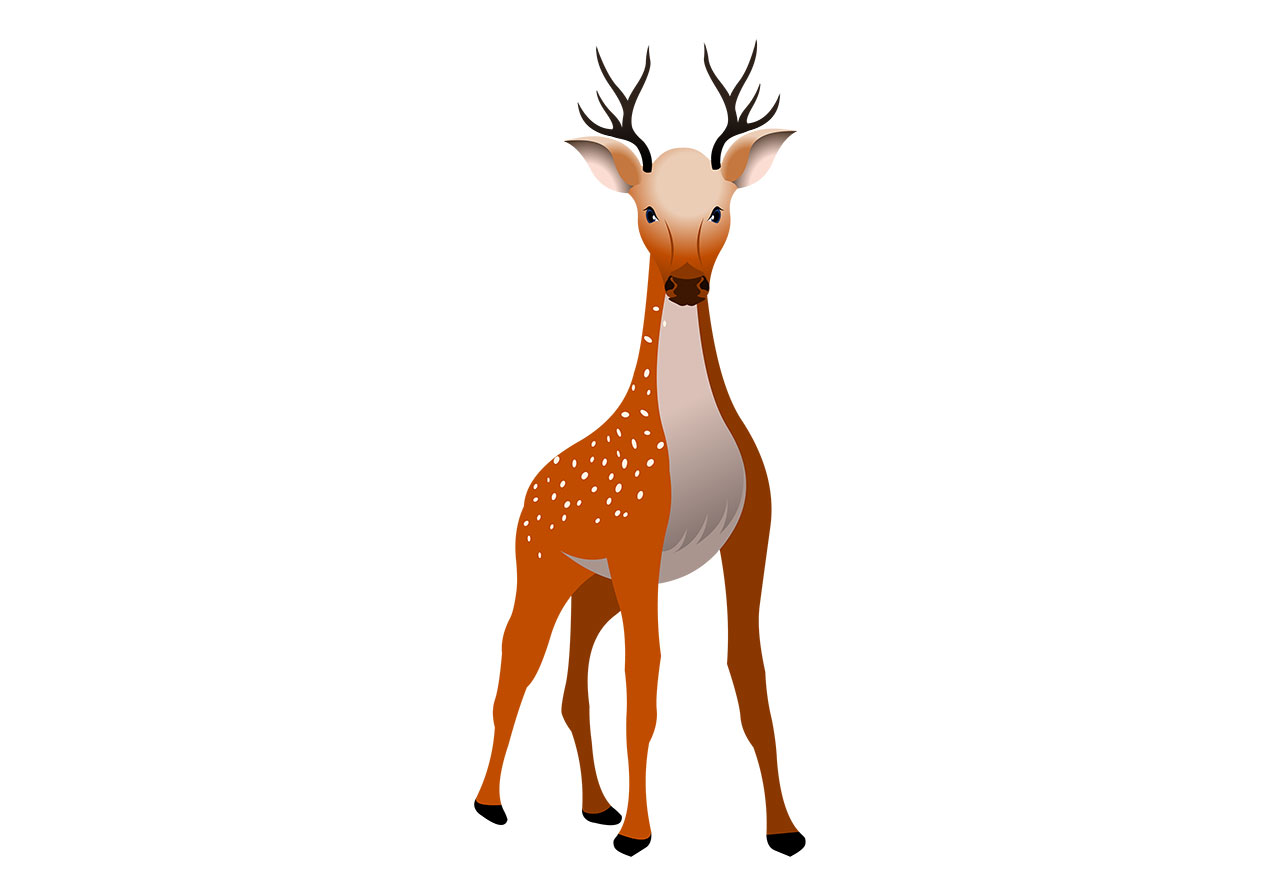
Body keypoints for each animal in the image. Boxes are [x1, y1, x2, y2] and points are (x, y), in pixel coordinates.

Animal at [473, 44, 803, 857]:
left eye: (719, 207)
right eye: (647, 209)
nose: (686, 283)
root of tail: (531, 486)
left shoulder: (748, 537)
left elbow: (749, 678)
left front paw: (784, 830)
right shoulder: (636, 546)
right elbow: (644, 685)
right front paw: (638, 835)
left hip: (592, 587)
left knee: (570, 688)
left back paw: (595, 807)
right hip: (541, 561)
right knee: (516, 662)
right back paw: (492, 804)